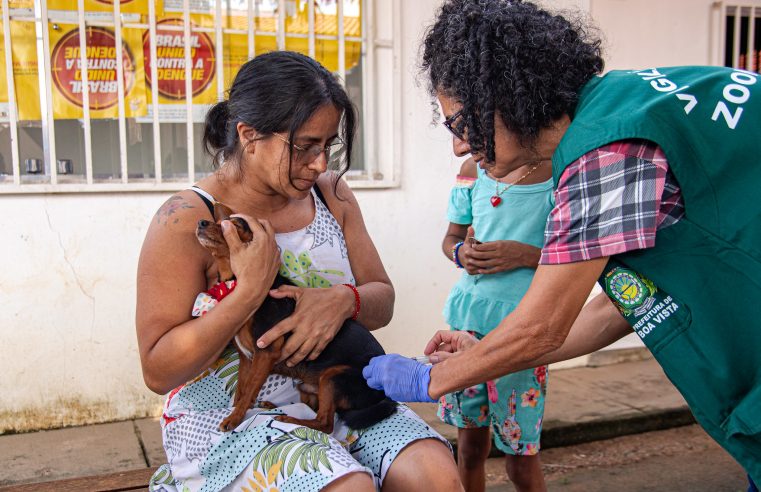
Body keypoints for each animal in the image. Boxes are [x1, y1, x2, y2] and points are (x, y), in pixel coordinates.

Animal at [194, 202, 398, 432]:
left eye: (233, 225)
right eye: (218, 222)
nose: (201, 222)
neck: (236, 283)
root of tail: (385, 396)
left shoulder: (266, 352)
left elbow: (249, 391)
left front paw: (234, 418)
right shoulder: (247, 359)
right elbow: (241, 391)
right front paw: (237, 412)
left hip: (333, 377)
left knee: (325, 423)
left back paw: (288, 419)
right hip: (309, 387)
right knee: (310, 409)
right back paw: (272, 405)